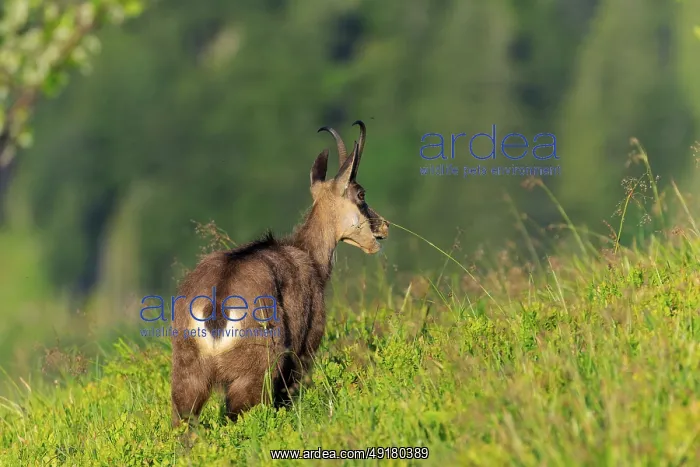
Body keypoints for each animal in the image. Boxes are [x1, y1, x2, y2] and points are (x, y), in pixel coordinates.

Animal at [170, 120, 389, 428]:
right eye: (361, 195)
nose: (384, 227)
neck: (307, 254)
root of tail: (216, 308)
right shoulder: (304, 346)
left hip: (187, 370)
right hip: (256, 367)